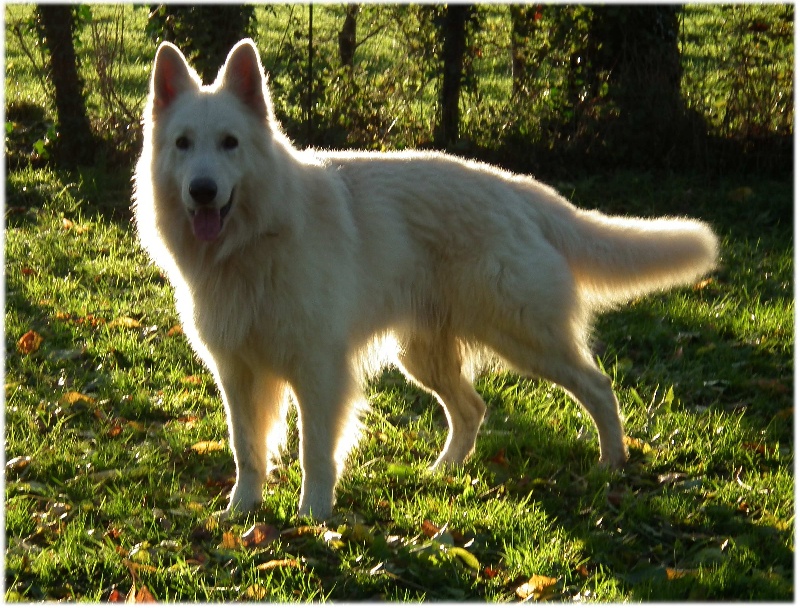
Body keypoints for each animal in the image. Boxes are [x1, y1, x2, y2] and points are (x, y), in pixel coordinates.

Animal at [131, 40, 720, 520]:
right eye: (183, 144)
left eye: (230, 143)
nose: (202, 191)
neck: (252, 242)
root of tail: (521, 191)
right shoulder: (236, 373)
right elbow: (246, 448)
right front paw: (243, 511)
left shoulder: (319, 370)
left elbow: (314, 450)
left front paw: (314, 516)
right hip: (423, 356)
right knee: (472, 409)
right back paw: (444, 473)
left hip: (524, 338)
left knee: (598, 388)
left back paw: (611, 464)